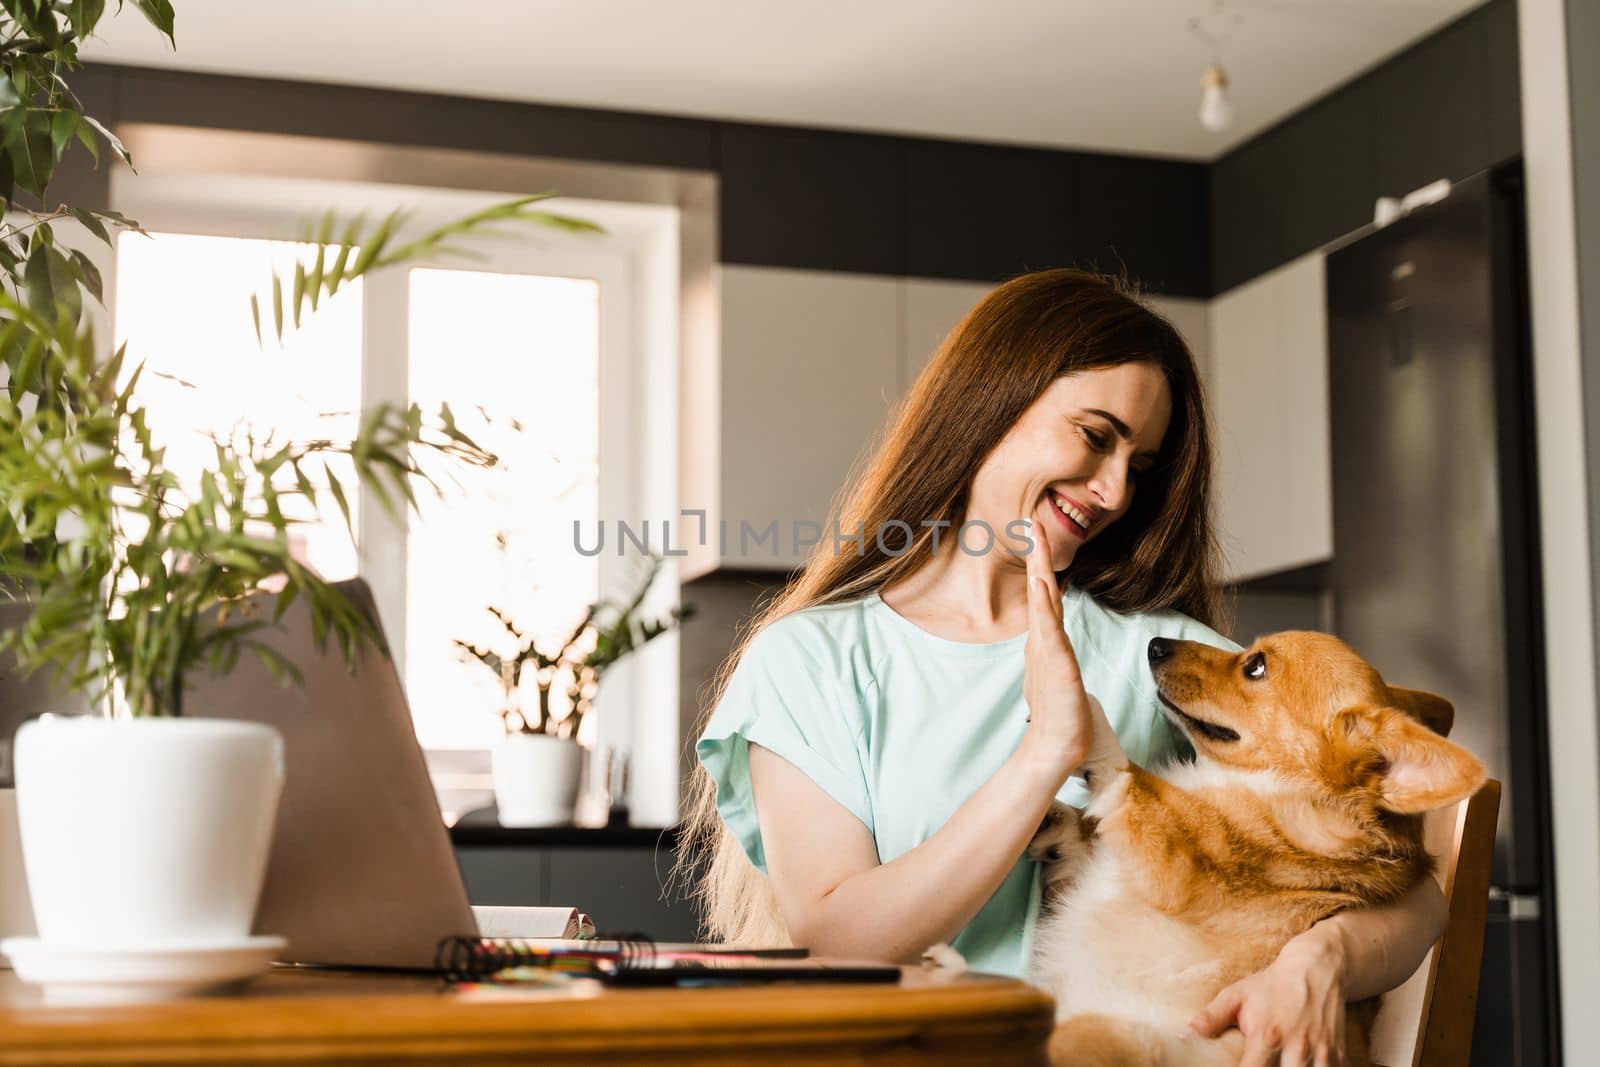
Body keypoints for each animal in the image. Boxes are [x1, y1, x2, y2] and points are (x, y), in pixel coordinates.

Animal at [1024, 633, 1484, 1067]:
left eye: (1256, 667)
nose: (1156, 644)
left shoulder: (1183, 859)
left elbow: (1132, 779)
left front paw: (1081, 713)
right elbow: (1087, 834)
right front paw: (1056, 823)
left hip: (1103, 1032)